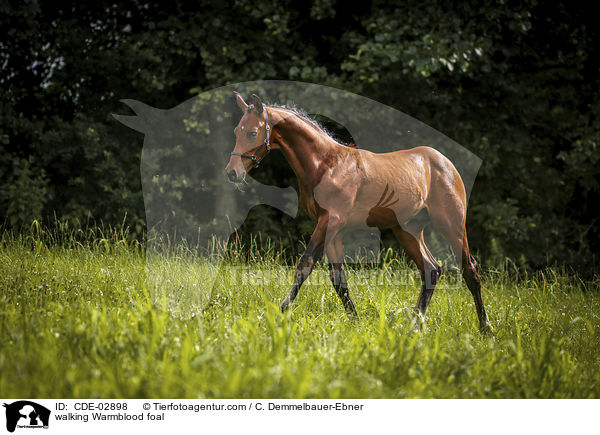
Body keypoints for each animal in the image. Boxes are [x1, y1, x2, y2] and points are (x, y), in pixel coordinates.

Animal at [225, 93, 492, 334]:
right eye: (236, 130)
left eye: (252, 132)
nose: (232, 173)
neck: (327, 164)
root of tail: (445, 163)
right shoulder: (333, 230)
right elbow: (338, 279)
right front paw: (356, 322)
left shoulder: (330, 221)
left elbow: (305, 264)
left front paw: (280, 313)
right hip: (408, 230)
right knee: (431, 269)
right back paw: (415, 326)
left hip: (452, 224)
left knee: (470, 269)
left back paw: (485, 328)